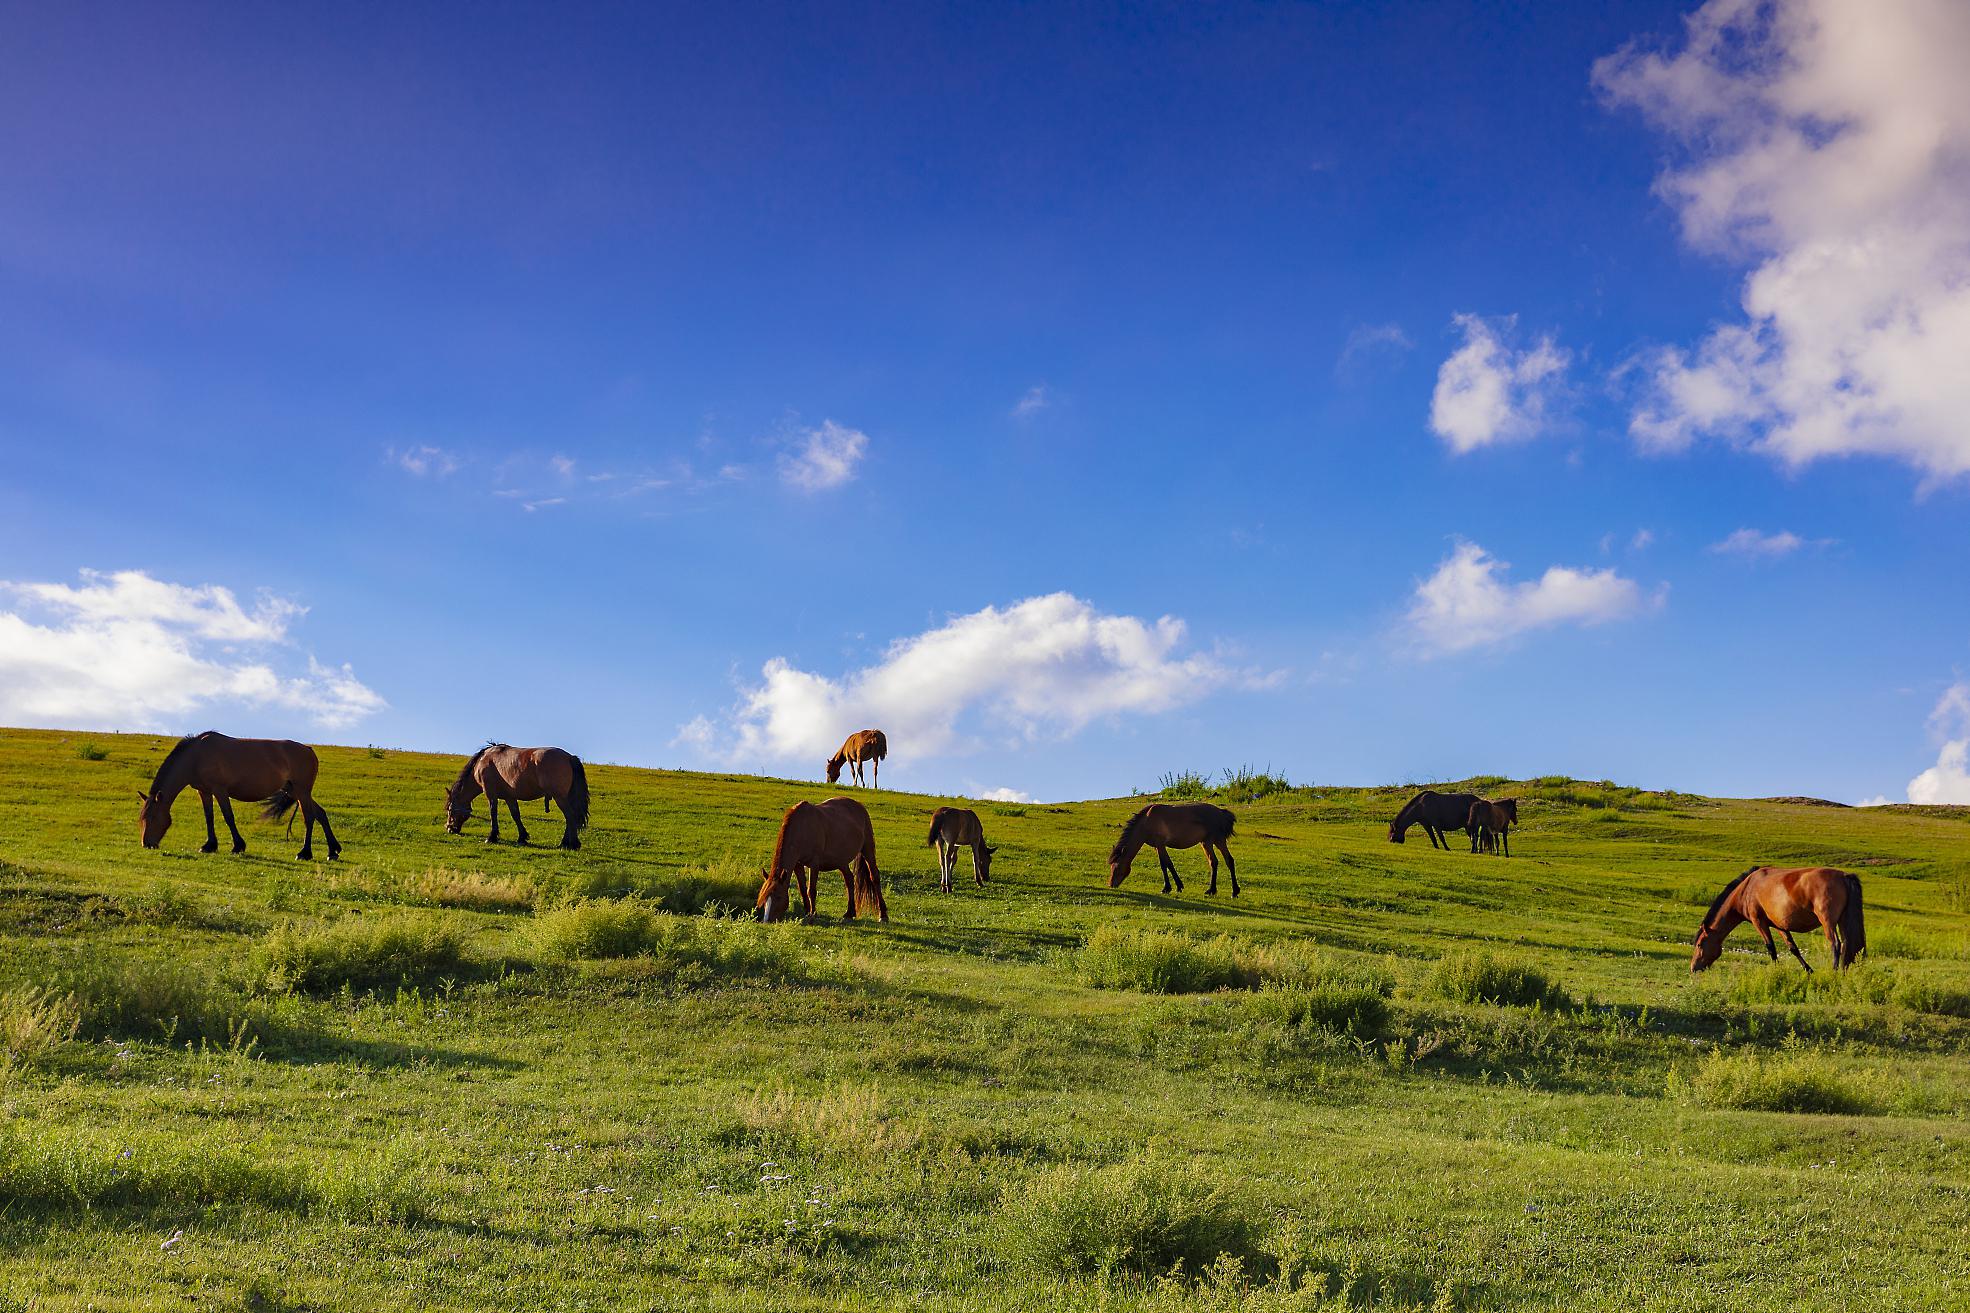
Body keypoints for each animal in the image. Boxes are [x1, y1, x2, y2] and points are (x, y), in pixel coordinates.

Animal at [137, 729, 342, 863]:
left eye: (153, 817)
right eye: (142, 819)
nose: (146, 844)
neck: (196, 756)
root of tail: (308, 749)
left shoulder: (219, 790)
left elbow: (228, 817)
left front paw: (238, 846)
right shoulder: (204, 791)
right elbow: (209, 817)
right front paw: (209, 846)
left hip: (302, 791)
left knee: (309, 818)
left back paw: (305, 853)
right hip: (295, 791)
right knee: (320, 814)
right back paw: (333, 851)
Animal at [449, 737, 591, 847]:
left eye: (450, 810)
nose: (449, 829)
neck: (484, 761)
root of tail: (569, 757)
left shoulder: (491, 795)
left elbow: (493, 814)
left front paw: (491, 837)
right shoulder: (509, 797)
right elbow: (516, 815)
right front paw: (522, 837)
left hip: (559, 797)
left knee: (570, 816)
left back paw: (571, 844)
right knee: (570, 818)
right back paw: (566, 843)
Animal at [752, 788, 886, 918]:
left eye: (778, 897)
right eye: (763, 897)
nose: (766, 920)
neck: (802, 827)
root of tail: (859, 806)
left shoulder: (814, 864)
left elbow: (811, 890)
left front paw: (813, 913)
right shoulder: (798, 864)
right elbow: (802, 889)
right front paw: (806, 912)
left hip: (867, 849)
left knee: (874, 877)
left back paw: (883, 914)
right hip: (841, 861)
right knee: (849, 880)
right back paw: (849, 913)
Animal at [1103, 804, 1237, 895]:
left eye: (1117, 867)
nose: (1111, 884)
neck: (1146, 821)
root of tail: (1221, 812)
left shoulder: (1160, 844)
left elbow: (1166, 864)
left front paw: (1169, 887)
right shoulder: (1157, 846)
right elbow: (1167, 864)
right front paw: (1175, 886)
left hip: (1214, 841)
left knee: (1223, 861)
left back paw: (1230, 891)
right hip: (1208, 842)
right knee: (1219, 861)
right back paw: (1217, 890)